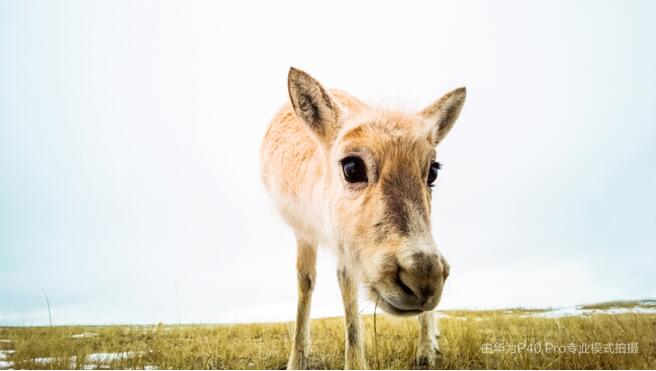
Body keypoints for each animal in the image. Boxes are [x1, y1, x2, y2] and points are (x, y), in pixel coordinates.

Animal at [258, 68, 464, 370]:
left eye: (433, 171)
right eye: (352, 166)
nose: (422, 279)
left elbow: (345, 279)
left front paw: (354, 363)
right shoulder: (303, 231)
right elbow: (305, 282)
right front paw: (296, 359)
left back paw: (426, 351)